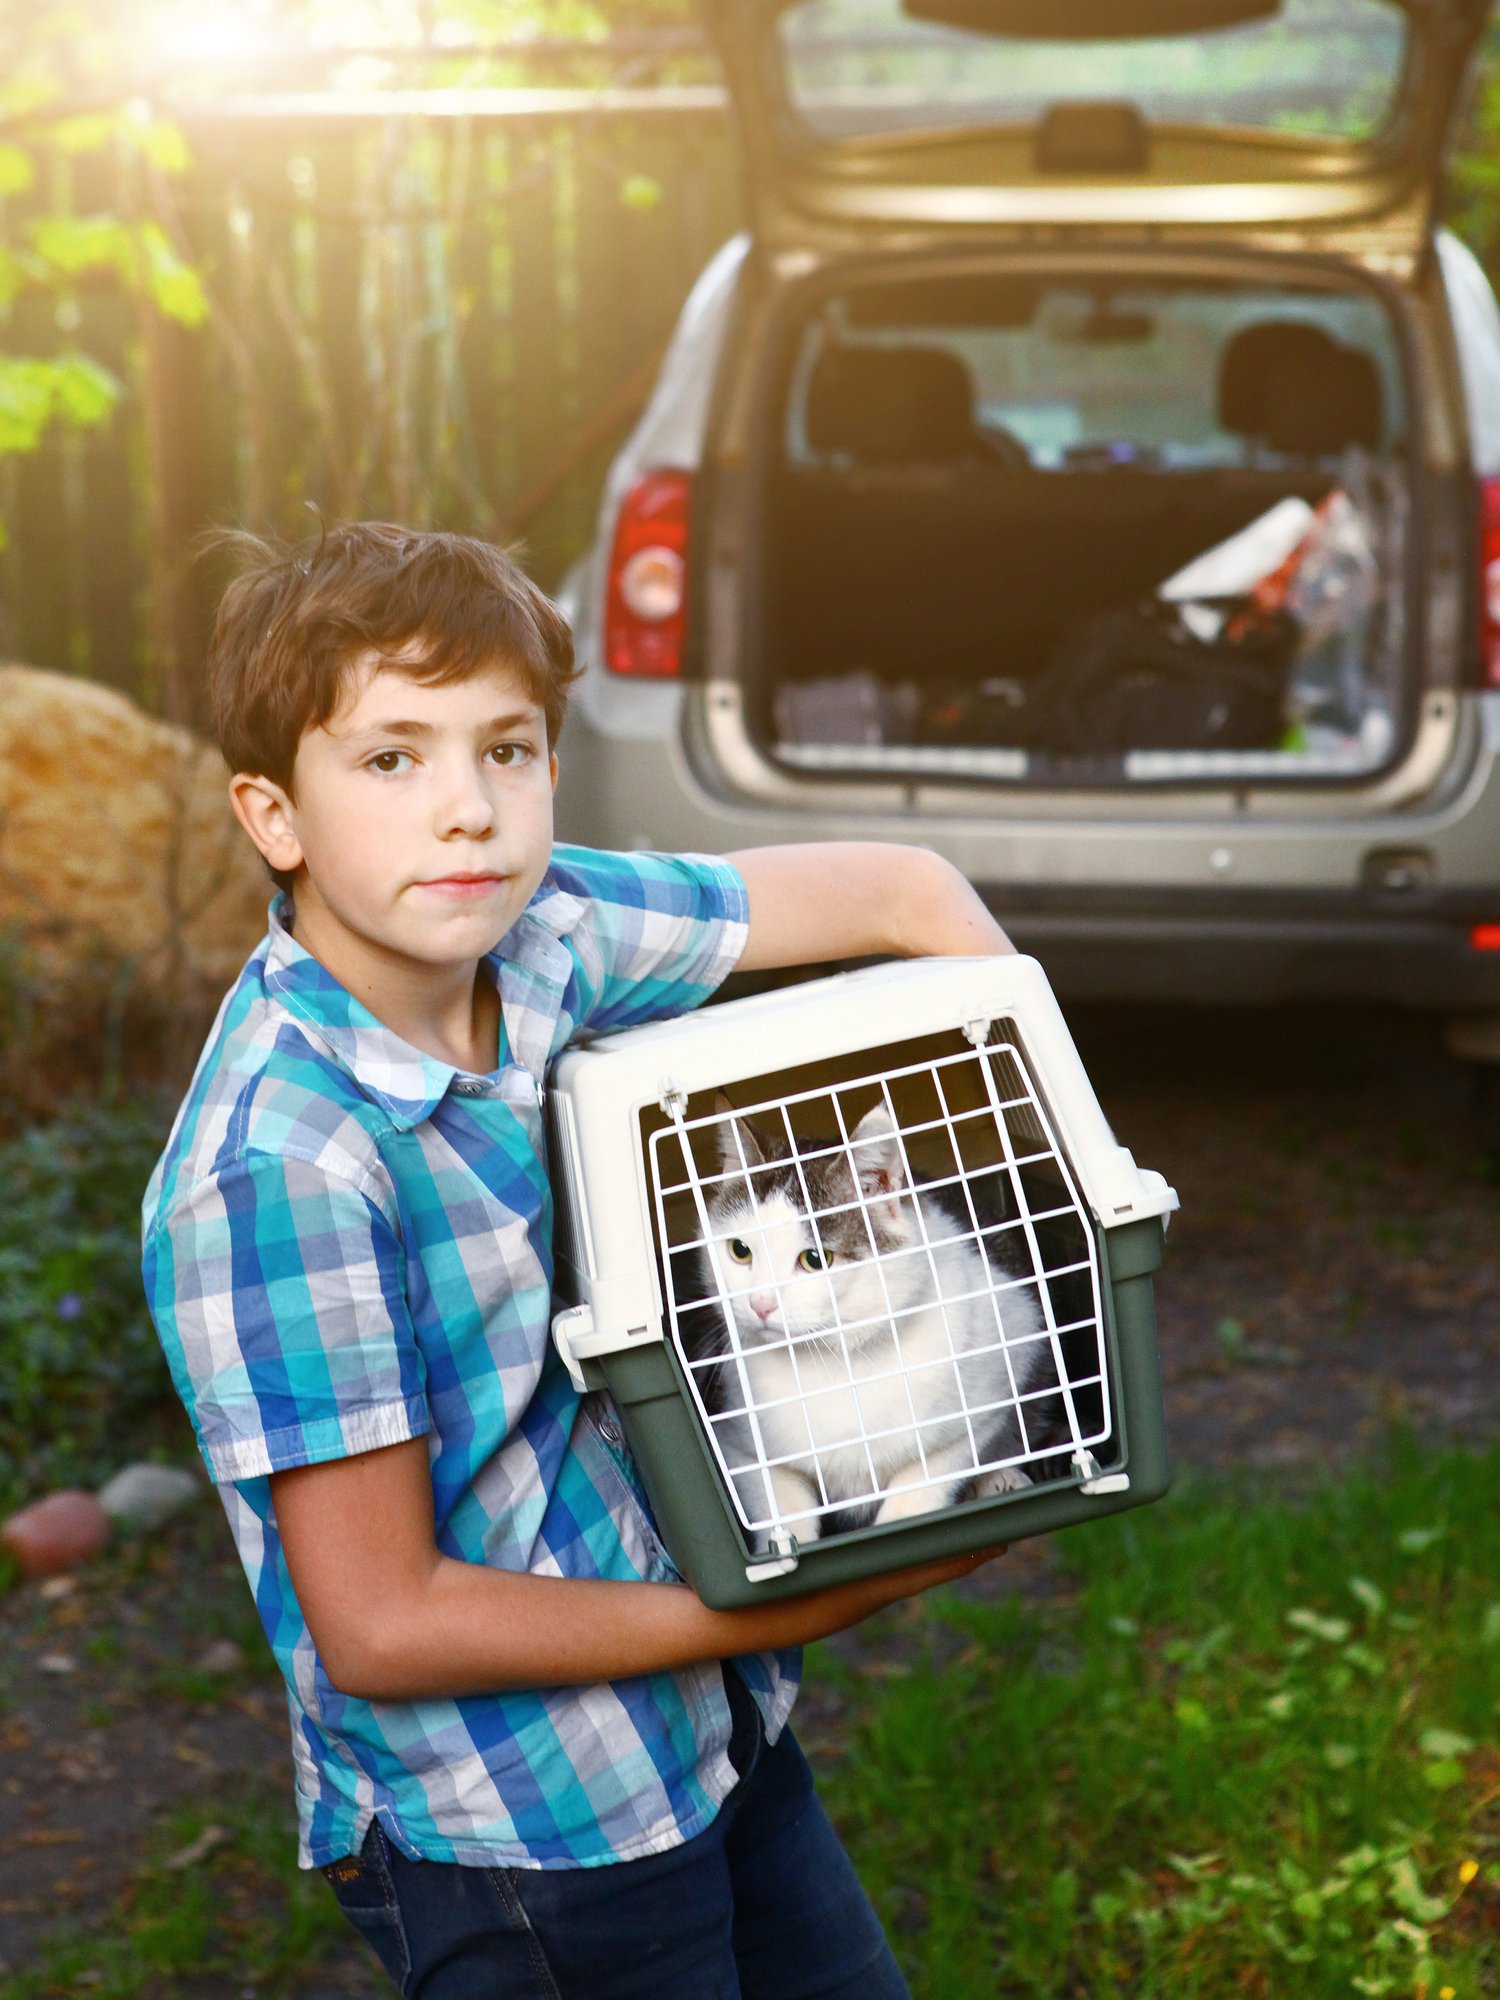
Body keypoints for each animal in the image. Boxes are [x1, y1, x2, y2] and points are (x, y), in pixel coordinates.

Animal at [680, 1096, 1048, 1544]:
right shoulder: (737, 1446)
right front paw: (787, 1546)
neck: (833, 1364)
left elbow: (925, 1480)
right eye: (739, 1251)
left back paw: (1002, 1476)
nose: (760, 1303)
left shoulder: (997, 1377)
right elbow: (782, 1508)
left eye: (815, 1259)